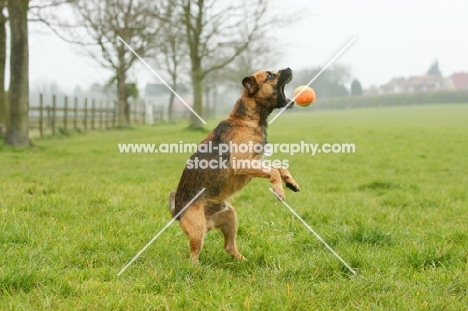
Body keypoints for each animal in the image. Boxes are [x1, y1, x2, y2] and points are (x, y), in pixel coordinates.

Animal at [169, 67, 300, 264]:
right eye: (270, 75)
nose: (289, 69)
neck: (248, 119)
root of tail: (177, 211)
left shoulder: (255, 163)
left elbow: (278, 167)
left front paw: (290, 182)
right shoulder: (243, 163)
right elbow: (273, 171)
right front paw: (279, 190)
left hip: (230, 217)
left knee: (229, 247)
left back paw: (244, 261)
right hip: (198, 230)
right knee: (193, 257)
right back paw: (197, 268)